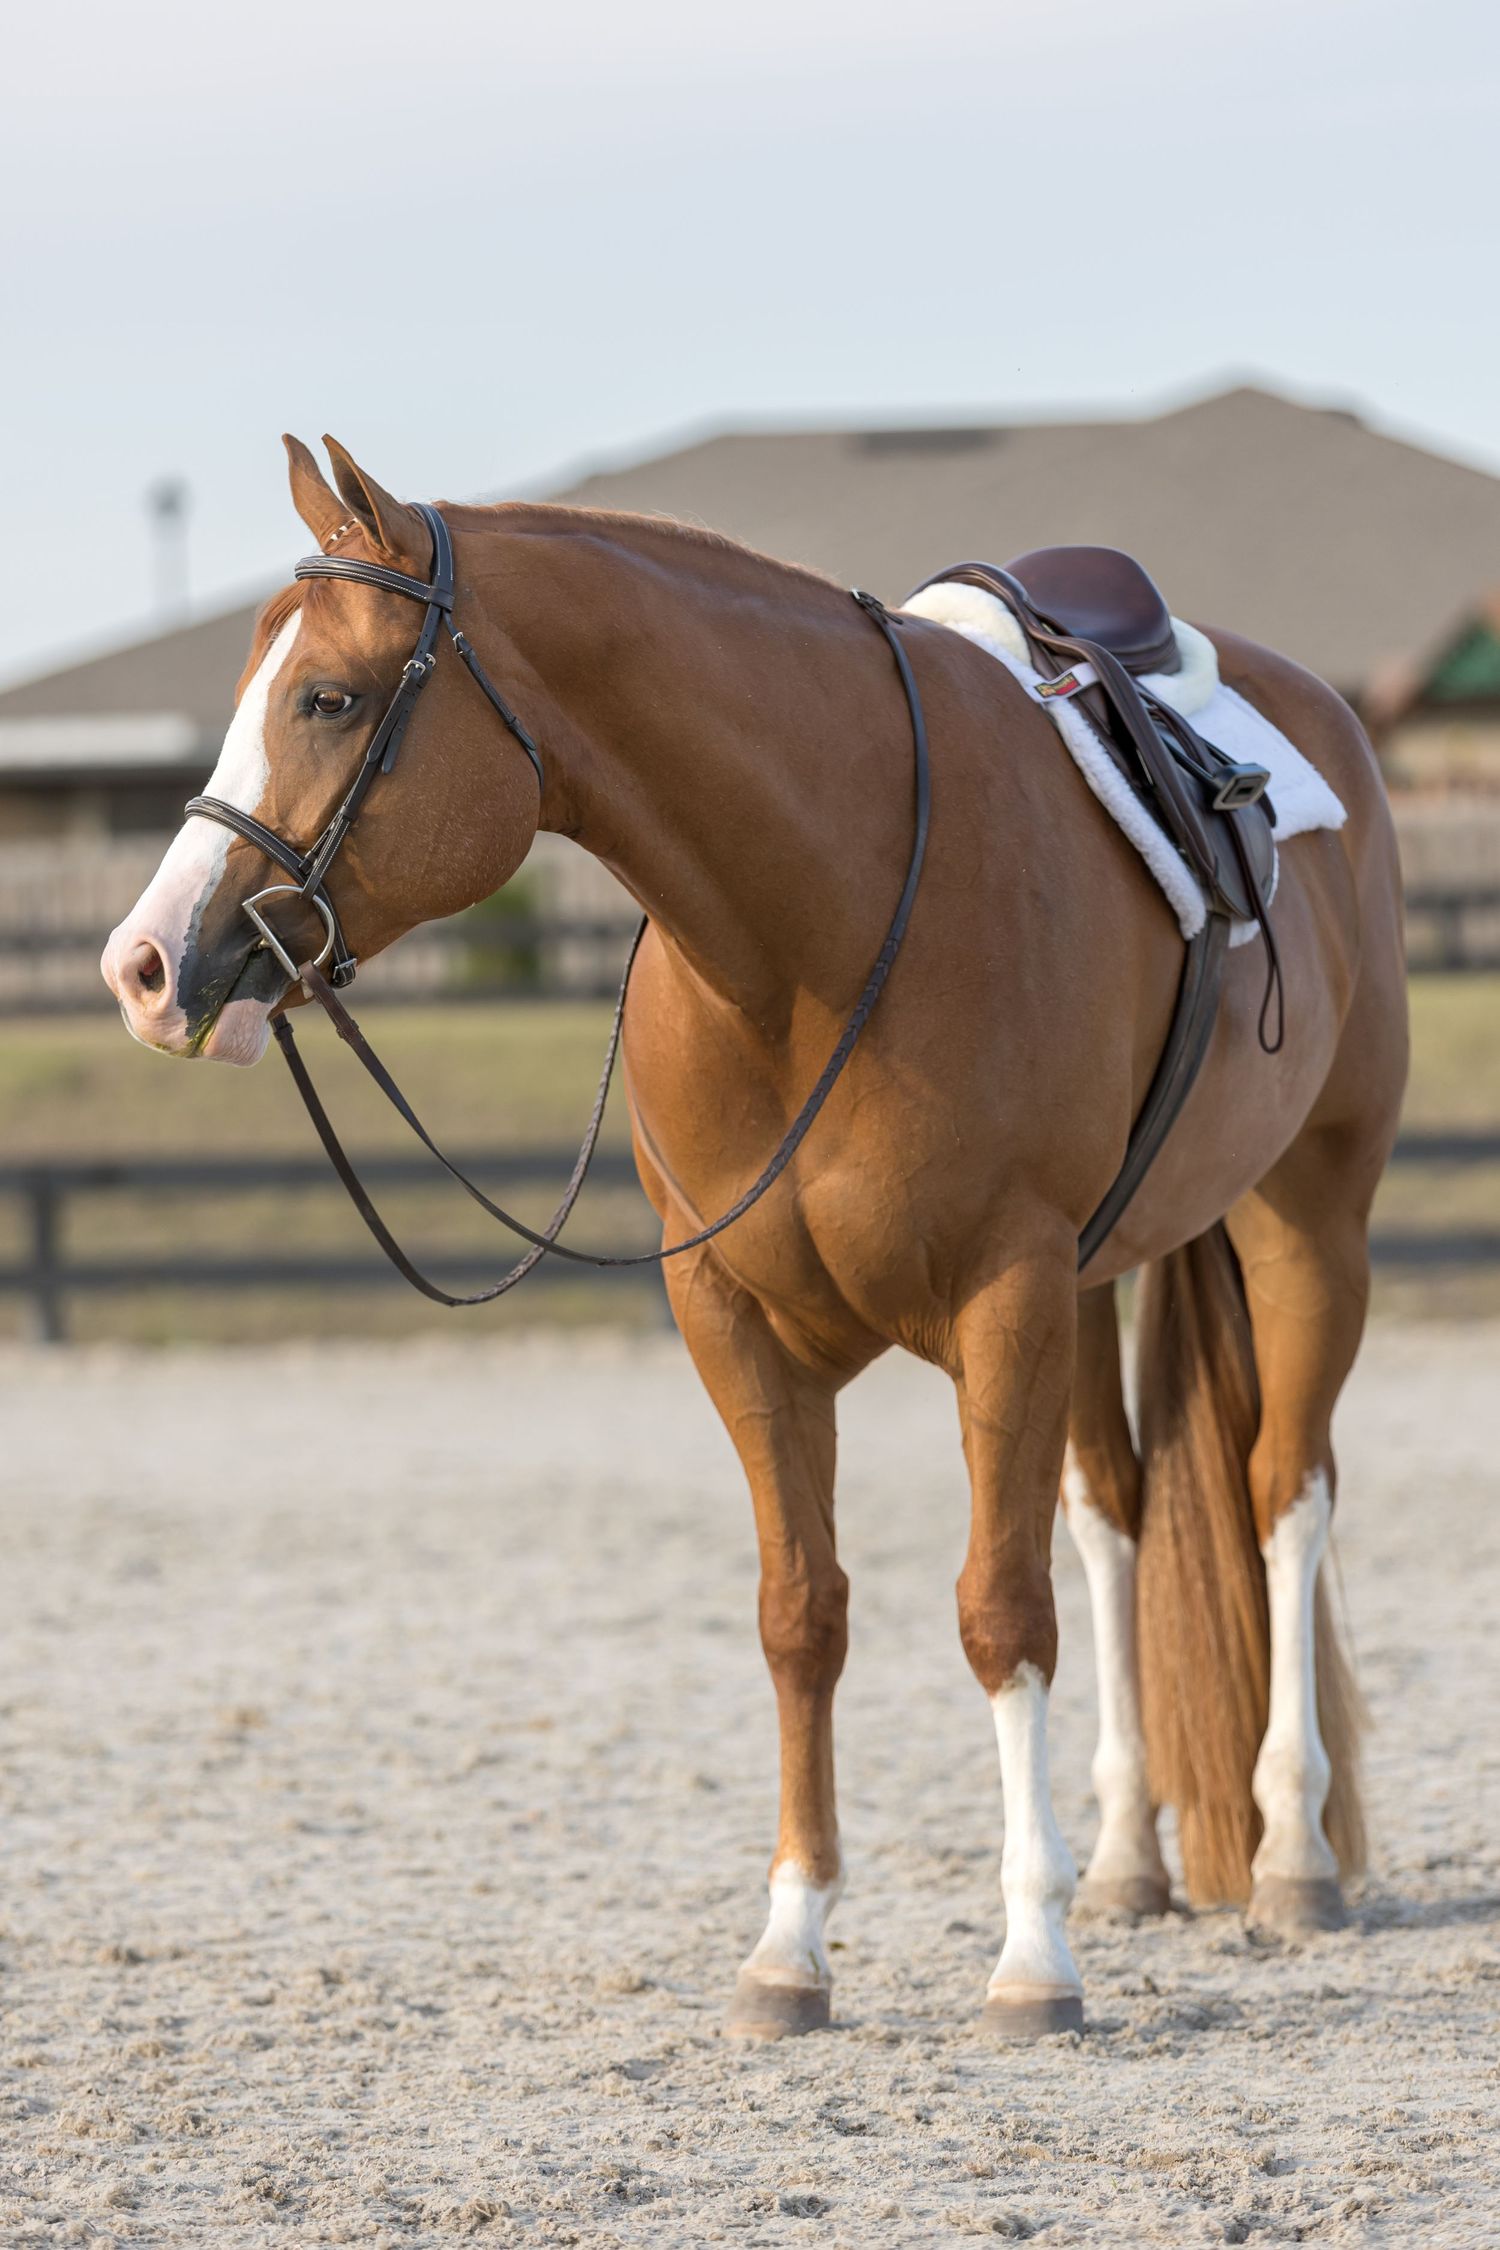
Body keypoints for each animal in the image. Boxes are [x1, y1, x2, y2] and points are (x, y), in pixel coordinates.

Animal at [102, 435, 1408, 2041]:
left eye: (329, 698)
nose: (145, 966)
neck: (817, 934)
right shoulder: (732, 1318)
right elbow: (803, 1615)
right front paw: (792, 1948)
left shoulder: (1007, 1297)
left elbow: (998, 1610)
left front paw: (1031, 1963)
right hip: (1109, 1279)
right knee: (1117, 1511)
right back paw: (1123, 1863)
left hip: (1311, 1221)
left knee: (1285, 1493)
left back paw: (1292, 1857)